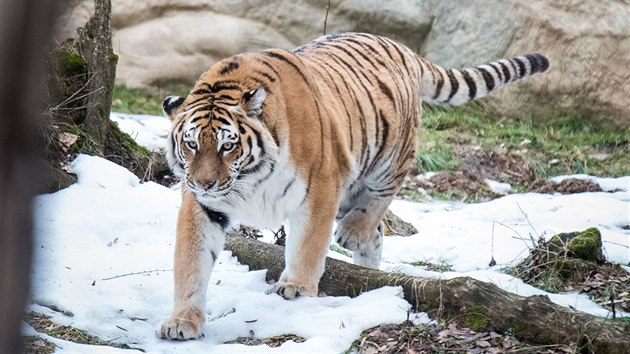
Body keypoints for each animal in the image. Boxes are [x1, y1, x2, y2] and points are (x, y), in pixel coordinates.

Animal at [158, 31, 548, 338]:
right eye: (191, 144)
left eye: (228, 146)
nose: (205, 182)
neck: (247, 178)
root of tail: (402, 47)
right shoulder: (202, 207)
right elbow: (191, 262)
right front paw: (182, 321)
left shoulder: (321, 187)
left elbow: (308, 246)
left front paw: (296, 289)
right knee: (377, 235)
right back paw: (368, 277)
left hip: (387, 160)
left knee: (376, 205)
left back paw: (352, 233)